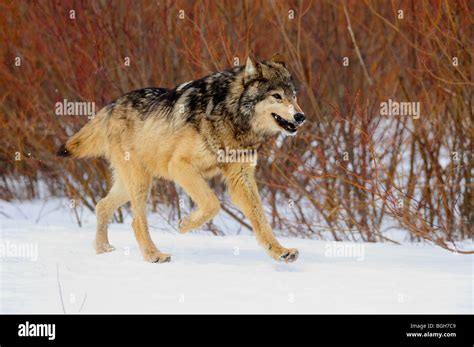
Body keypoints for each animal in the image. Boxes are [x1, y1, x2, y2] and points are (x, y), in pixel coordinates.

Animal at [57, 55, 306, 264]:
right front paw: (185, 224)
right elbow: (212, 203)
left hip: (131, 184)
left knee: (101, 205)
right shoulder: (179, 166)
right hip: (140, 183)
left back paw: (103, 249)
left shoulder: (240, 178)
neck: (231, 115)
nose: (300, 116)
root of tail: (111, 106)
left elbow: (261, 220)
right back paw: (153, 255)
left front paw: (280, 251)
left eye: (294, 96)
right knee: (136, 221)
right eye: (277, 96)